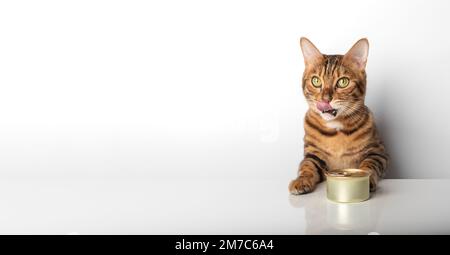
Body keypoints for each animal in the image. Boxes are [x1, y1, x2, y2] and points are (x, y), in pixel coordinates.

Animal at [290, 36, 388, 194]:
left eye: (343, 82)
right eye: (316, 81)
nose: (325, 99)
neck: (335, 129)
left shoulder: (378, 152)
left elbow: (369, 165)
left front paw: (366, 180)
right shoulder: (313, 153)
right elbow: (307, 165)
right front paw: (302, 180)